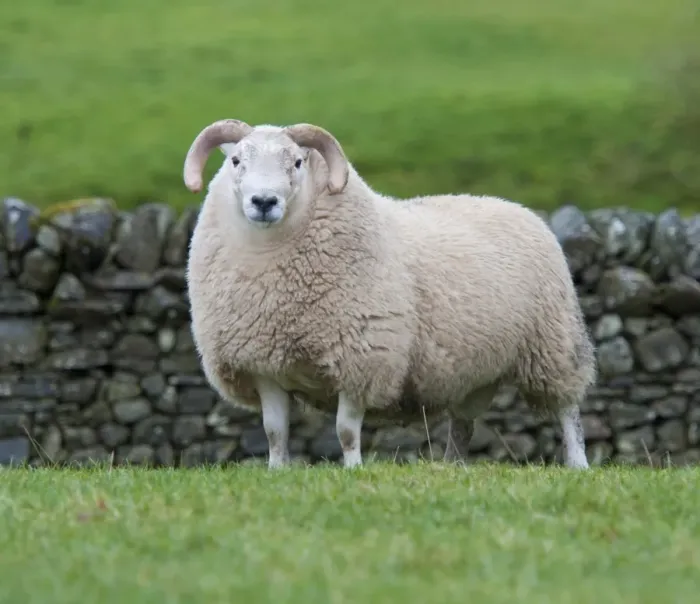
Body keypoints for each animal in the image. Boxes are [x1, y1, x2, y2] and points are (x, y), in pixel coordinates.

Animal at [183, 118, 596, 470]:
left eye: (298, 162)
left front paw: (353, 470)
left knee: (568, 409)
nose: (264, 202)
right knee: (463, 422)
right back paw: (453, 466)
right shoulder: (262, 362)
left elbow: (346, 431)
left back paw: (577, 464)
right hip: (476, 368)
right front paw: (277, 470)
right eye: (236, 160)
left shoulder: (362, 356)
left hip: (553, 344)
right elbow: (274, 431)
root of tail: (519, 208)